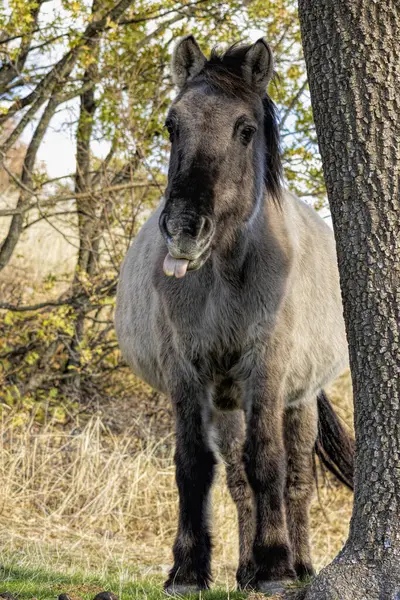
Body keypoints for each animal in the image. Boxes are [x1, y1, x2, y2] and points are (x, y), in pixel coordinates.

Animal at [115, 35, 354, 592]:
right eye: (172, 124)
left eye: (245, 130)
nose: (184, 228)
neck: (224, 278)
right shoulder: (187, 374)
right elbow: (194, 465)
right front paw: (187, 569)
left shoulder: (266, 369)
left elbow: (269, 461)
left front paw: (276, 566)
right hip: (225, 403)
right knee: (238, 479)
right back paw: (244, 570)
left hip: (298, 401)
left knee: (295, 480)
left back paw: (297, 564)